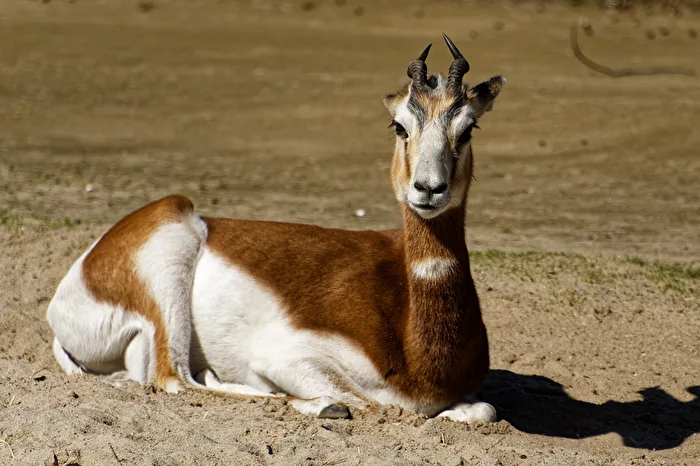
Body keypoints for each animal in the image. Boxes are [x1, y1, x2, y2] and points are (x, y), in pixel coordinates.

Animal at [47, 34, 505, 422]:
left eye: (468, 128)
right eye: (399, 126)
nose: (428, 189)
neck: (412, 345)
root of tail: (79, 276)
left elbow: (483, 410)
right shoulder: (286, 356)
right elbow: (369, 402)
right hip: (170, 265)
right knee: (174, 379)